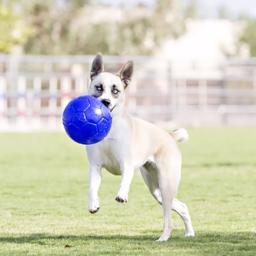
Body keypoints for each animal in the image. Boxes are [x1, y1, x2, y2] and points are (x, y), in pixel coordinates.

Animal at [85, 54, 195, 242]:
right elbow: (93, 187)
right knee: (182, 206)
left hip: (166, 184)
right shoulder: (95, 166)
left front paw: (122, 195)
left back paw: (163, 237)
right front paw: (93, 204)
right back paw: (189, 233)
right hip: (155, 188)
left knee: (168, 218)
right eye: (99, 87)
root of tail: (169, 136)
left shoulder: (126, 163)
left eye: (115, 90)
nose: (105, 102)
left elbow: (125, 179)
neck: (110, 128)